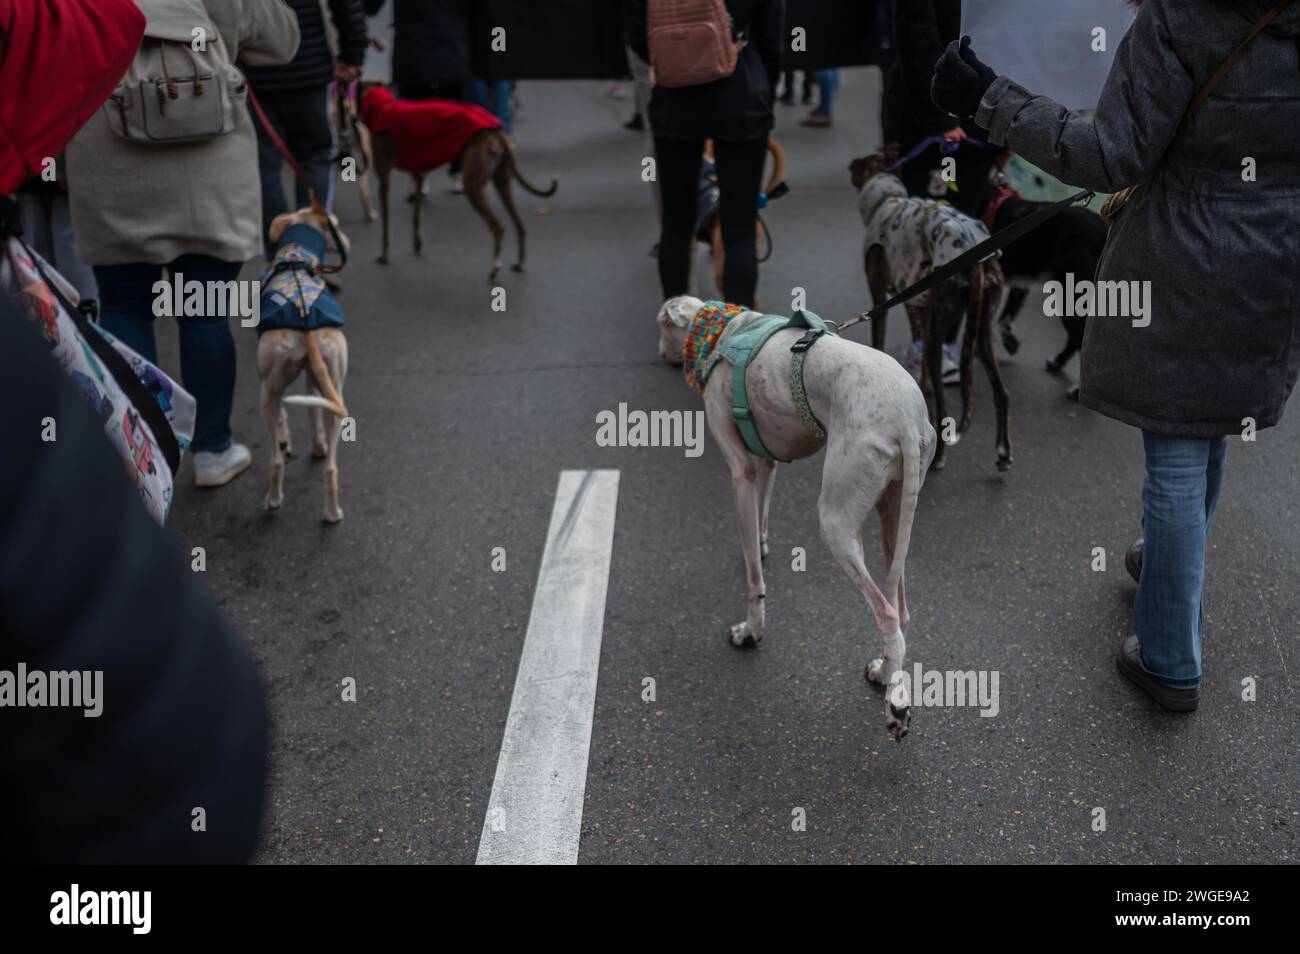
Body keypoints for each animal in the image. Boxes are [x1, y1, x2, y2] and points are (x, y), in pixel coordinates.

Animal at [660, 295, 935, 743]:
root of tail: (907, 419)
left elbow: (753, 578)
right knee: (902, 610)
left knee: (888, 612)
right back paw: (885, 672)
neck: (725, 331)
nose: (659, 352)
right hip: (894, 513)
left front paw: (750, 630)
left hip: (837, 523)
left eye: (660, 324)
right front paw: (761, 544)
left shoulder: (740, 471)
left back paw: (896, 707)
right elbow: (761, 516)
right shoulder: (767, 458)